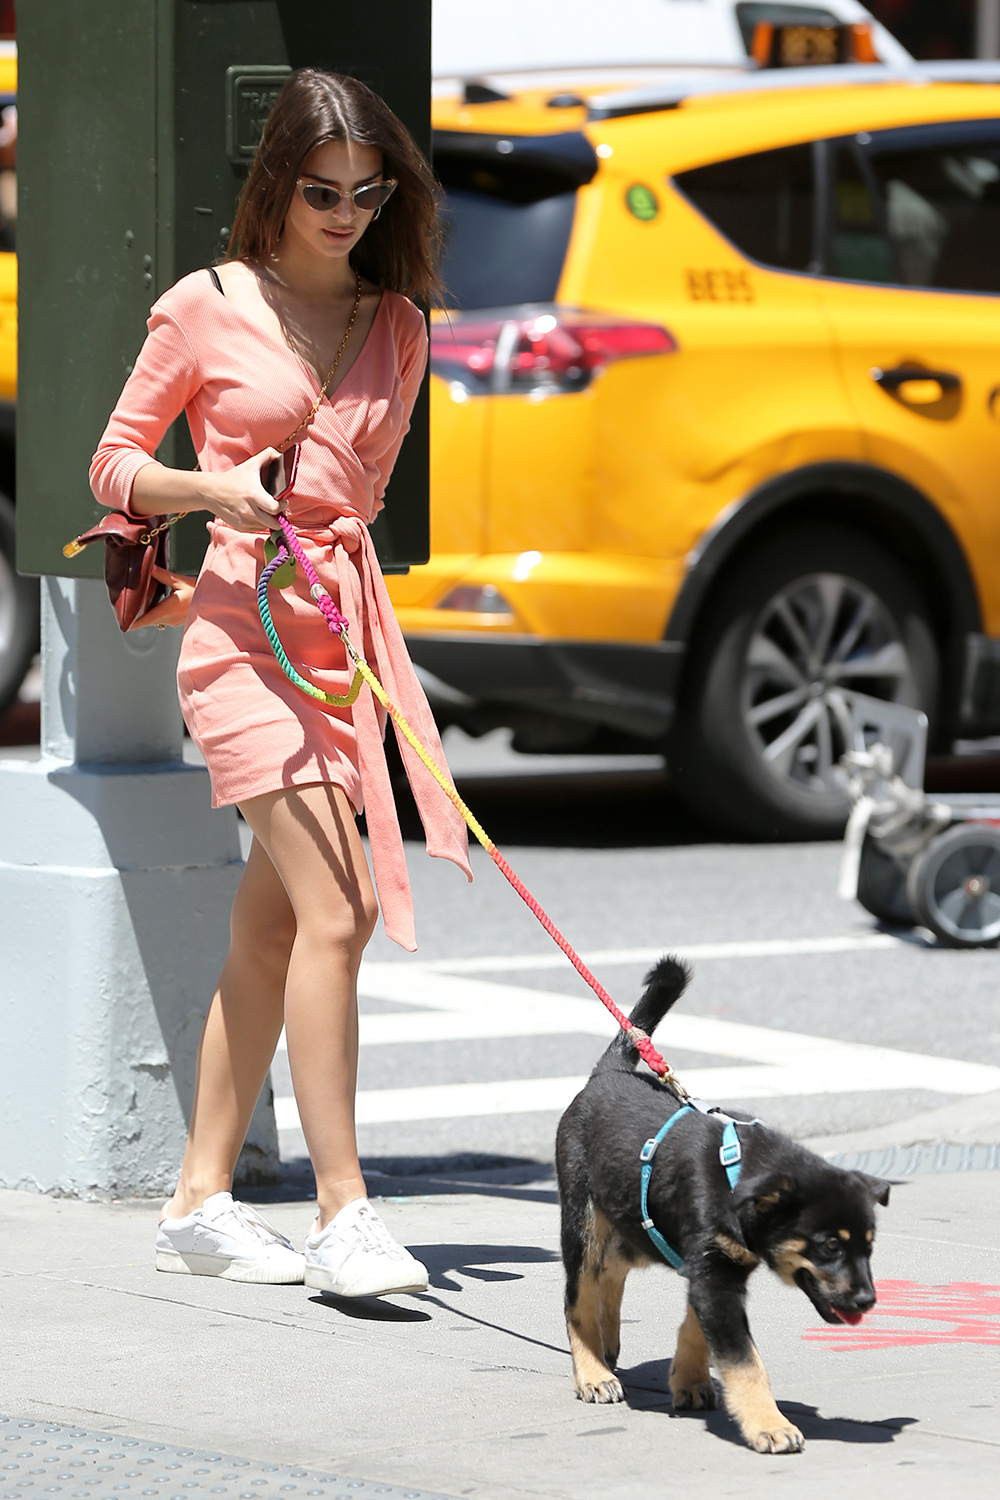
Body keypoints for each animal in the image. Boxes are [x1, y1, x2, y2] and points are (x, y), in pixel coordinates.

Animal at [554, 960, 893, 1452]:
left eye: (869, 1248)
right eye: (829, 1246)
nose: (867, 1300)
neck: (739, 1179)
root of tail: (607, 1073)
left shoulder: (719, 1268)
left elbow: (699, 1328)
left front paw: (690, 1380)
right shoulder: (715, 1272)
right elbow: (745, 1361)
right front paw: (770, 1424)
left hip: (632, 1221)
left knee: (610, 1270)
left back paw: (608, 1345)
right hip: (582, 1218)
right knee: (578, 1296)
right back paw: (593, 1372)